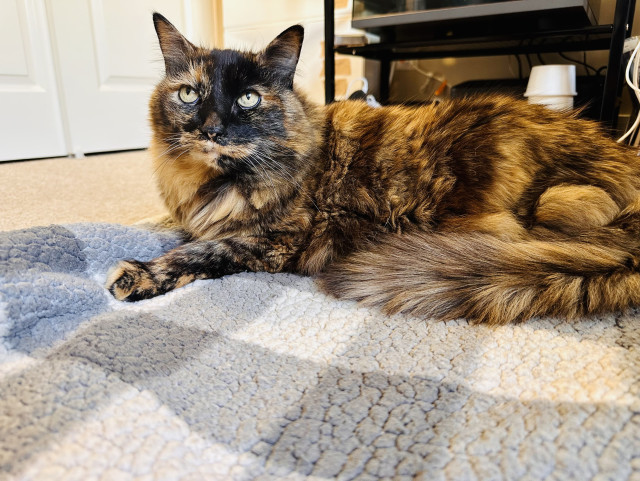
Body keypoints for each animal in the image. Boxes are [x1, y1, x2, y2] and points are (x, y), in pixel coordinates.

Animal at [107, 14, 640, 322]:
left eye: (248, 99)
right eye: (189, 94)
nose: (212, 129)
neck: (211, 182)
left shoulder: (272, 240)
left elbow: (198, 251)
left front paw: (138, 275)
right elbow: (156, 224)